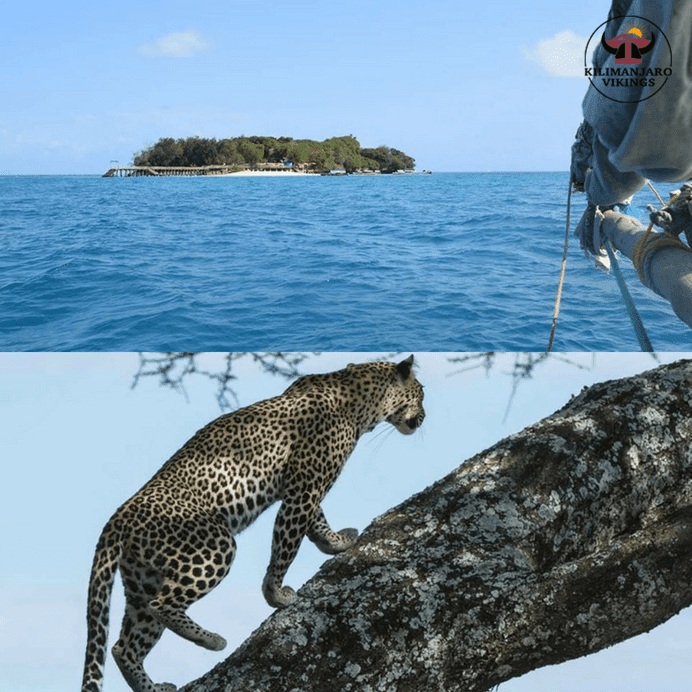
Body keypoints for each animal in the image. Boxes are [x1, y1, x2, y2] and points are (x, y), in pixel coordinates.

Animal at [82, 356, 428, 692]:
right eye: (422, 393)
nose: (425, 416)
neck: (359, 396)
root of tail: (117, 519)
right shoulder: (304, 489)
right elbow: (286, 545)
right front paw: (276, 595)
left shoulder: (301, 488)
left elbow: (315, 521)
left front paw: (336, 542)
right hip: (213, 547)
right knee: (162, 605)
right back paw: (212, 640)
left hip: (142, 581)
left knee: (123, 647)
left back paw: (153, 686)